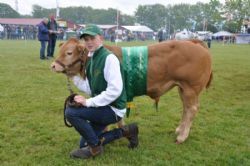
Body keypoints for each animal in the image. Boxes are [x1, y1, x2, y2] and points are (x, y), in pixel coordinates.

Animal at [51, 38, 213, 143]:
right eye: (60, 50)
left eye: (69, 53)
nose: (53, 65)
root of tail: (193, 41)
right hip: (183, 88)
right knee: (186, 108)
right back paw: (180, 130)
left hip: (190, 88)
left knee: (191, 109)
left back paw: (182, 137)